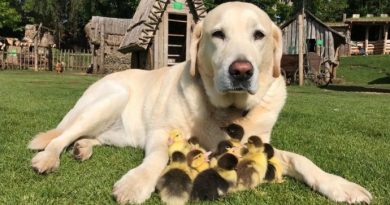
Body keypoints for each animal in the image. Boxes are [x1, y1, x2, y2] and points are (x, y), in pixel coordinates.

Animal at [29, 2, 372, 204]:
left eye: (259, 35)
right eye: (217, 34)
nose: (241, 70)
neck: (228, 110)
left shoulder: (262, 144)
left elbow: (303, 160)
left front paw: (342, 186)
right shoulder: (161, 131)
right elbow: (156, 158)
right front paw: (136, 183)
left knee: (90, 137)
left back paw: (83, 148)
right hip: (111, 98)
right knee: (61, 136)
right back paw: (49, 158)